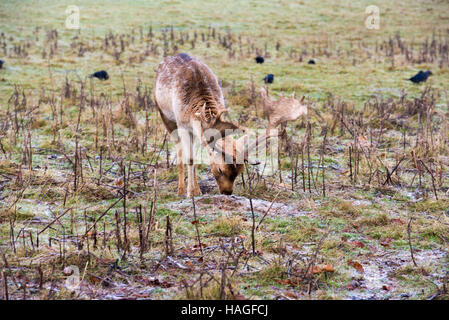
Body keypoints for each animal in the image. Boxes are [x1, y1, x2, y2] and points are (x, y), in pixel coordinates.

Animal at [154, 53, 268, 196]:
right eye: (220, 169)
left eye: (240, 171)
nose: (227, 192)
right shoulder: (182, 125)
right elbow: (189, 158)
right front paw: (189, 193)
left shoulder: (198, 130)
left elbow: (196, 156)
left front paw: (197, 191)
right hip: (164, 115)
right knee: (179, 149)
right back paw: (180, 190)